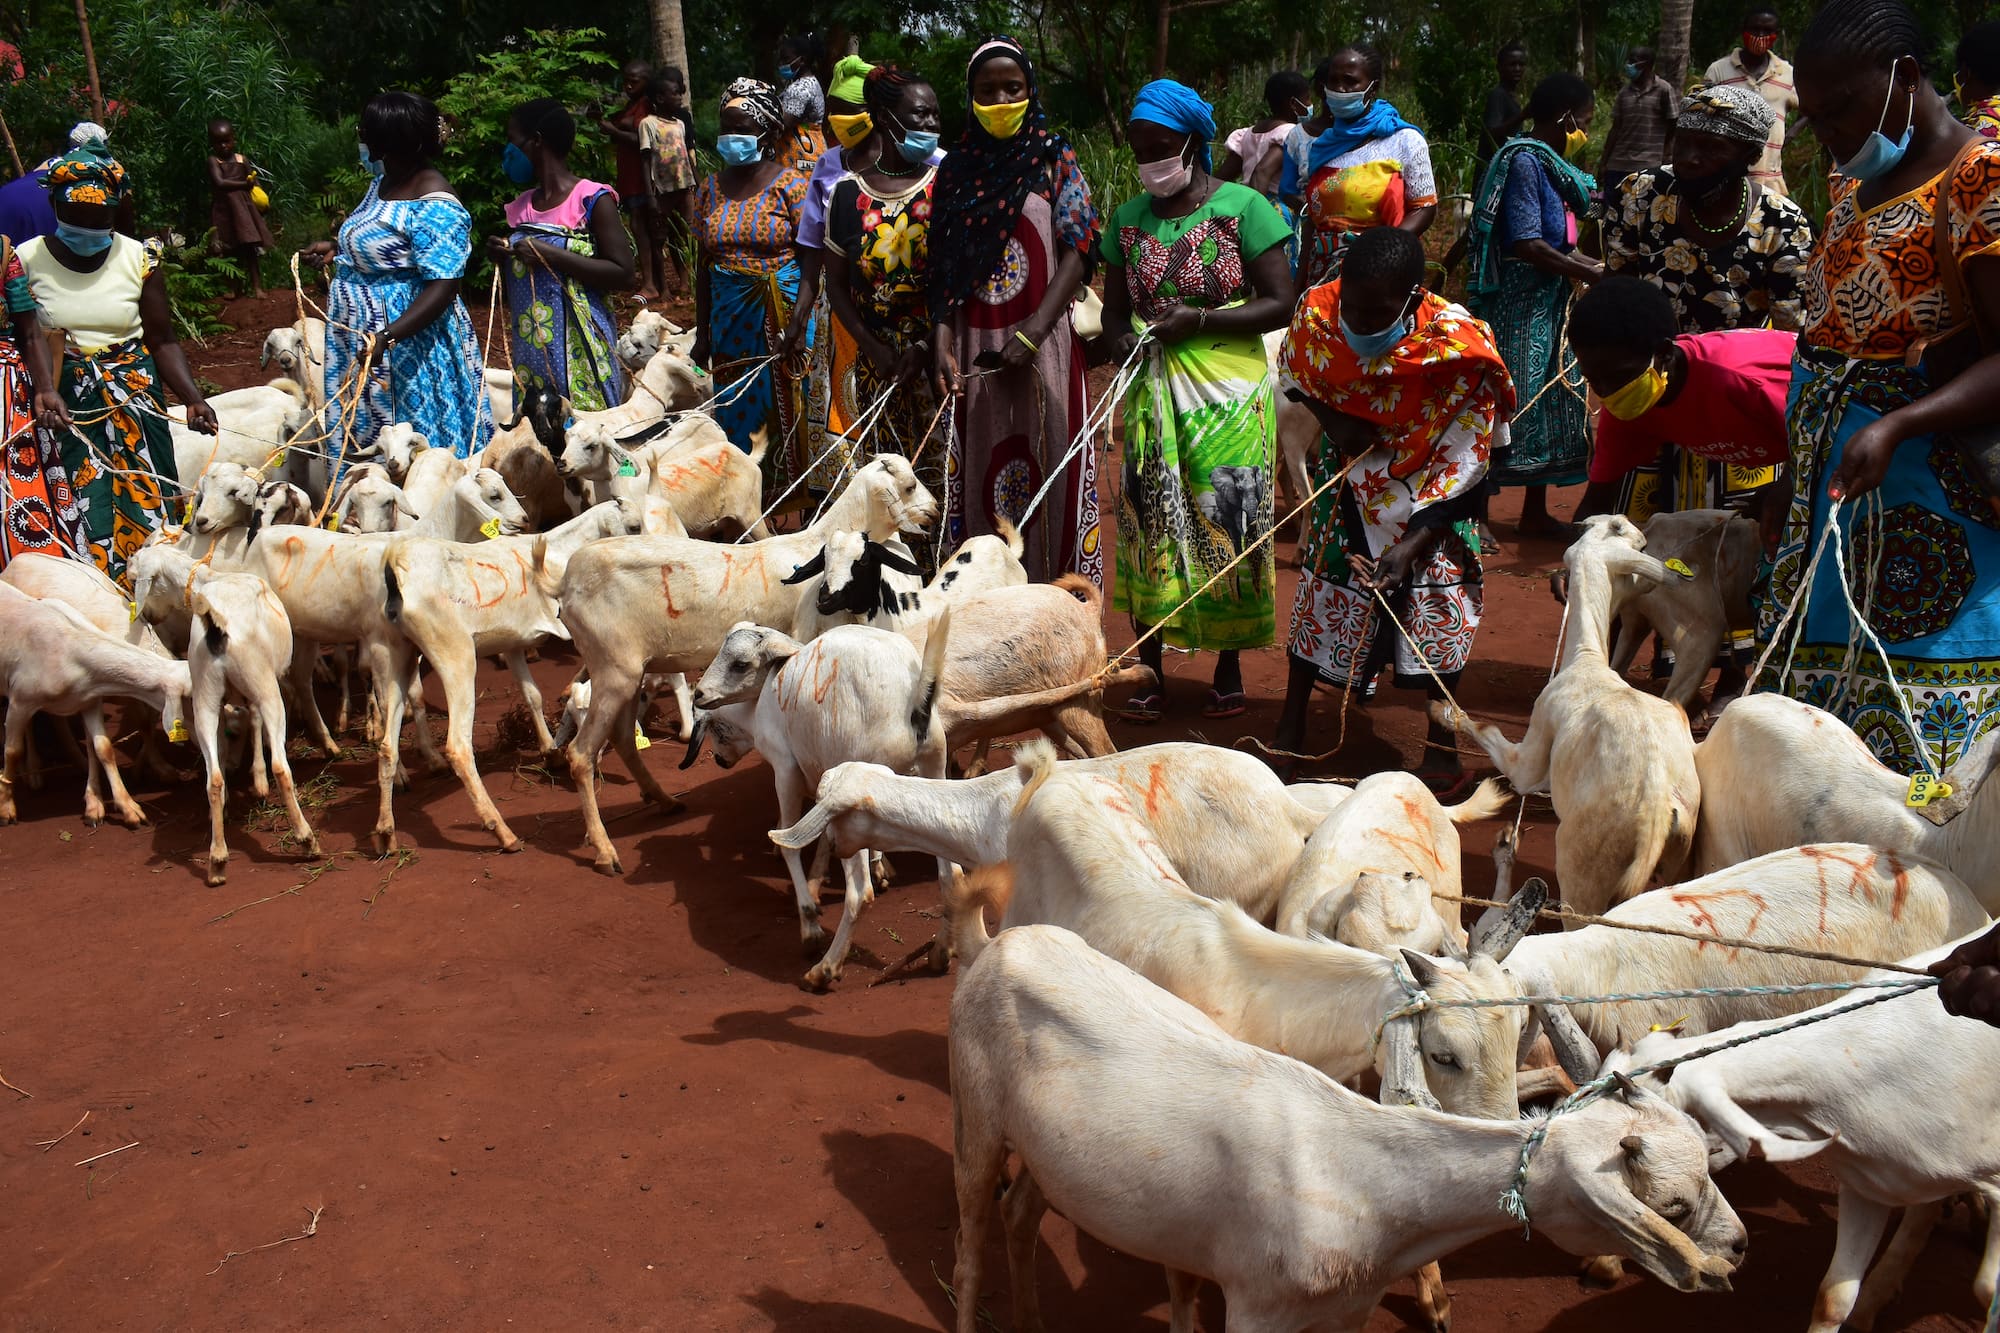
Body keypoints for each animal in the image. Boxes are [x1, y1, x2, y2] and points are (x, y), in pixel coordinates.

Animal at [951, 924, 1746, 1333]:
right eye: (1671, 1204)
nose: (1738, 1245)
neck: (1359, 1175)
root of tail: (1004, 941)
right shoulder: (1257, 1310)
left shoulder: (1348, 1308)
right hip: (976, 1122)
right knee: (972, 1245)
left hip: (1052, 1160)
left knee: (1021, 1214)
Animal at [1456, 514, 1699, 918]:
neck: (1586, 658)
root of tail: (1655, 804)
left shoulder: (1533, 745)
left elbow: (1490, 735)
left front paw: (1445, 710)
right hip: (1678, 858)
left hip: (1581, 874)